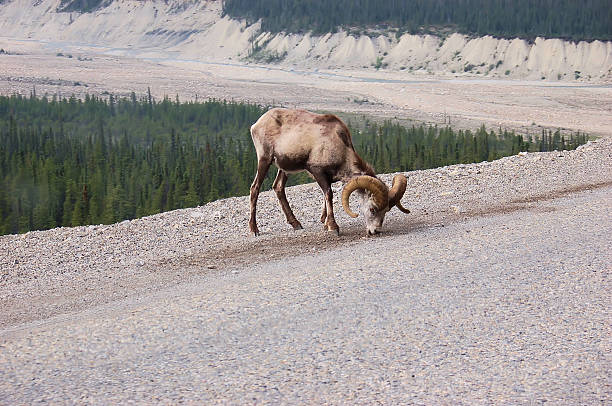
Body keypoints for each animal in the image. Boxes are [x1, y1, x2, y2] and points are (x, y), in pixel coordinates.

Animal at [249, 108, 412, 236]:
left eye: (386, 211)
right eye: (372, 209)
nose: (375, 231)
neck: (339, 147)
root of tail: (256, 124)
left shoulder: (329, 178)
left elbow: (325, 199)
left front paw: (325, 223)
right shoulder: (318, 172)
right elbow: (328, 195)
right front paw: (333, 228)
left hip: (284, 169)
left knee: (278, 187)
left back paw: (296, 224)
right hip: (264, 160)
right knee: (255, 188)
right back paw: (254, 230)